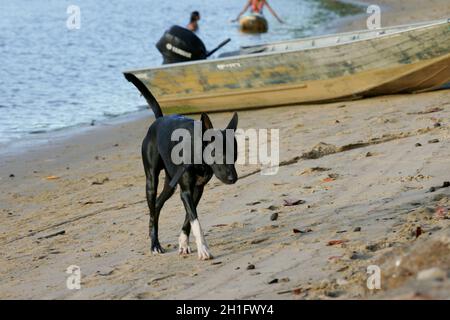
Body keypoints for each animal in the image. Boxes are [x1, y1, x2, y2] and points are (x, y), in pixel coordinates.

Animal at [138, 82, 239, 258]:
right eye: (217, 154)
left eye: (235, 155)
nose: (233, 178)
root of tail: (159, 120)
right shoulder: (186, 191)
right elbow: (195, 220)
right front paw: (203, 249)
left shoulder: (197, 190)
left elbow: (189, 218)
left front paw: (183, 242)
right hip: (151, 181)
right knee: (152, 206)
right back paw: (155, 244)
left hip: (170, 184)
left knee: (157, 205)